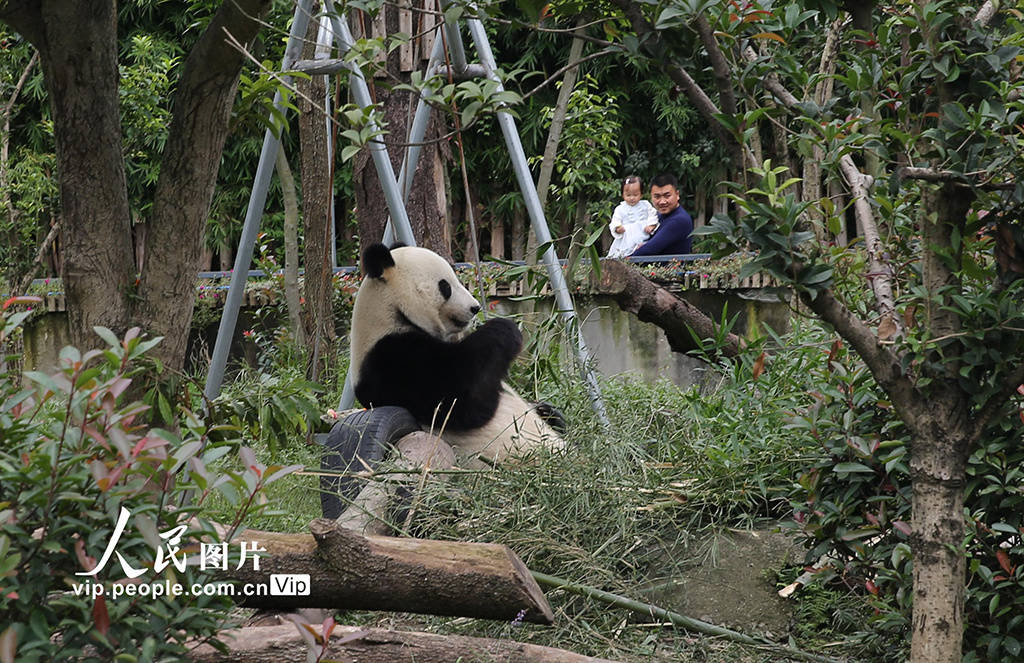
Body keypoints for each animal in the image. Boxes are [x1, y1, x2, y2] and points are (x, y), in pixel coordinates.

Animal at [348, 243, 565, 467]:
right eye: (445, 286)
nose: (475, 307)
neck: (390, 312)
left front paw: (547, 409)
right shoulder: (390, 358)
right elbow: (460, 400)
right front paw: (505, 328)